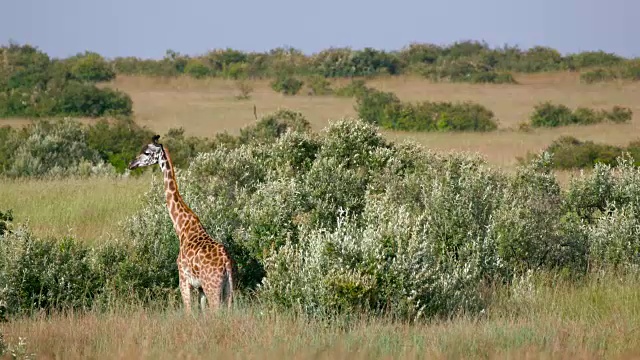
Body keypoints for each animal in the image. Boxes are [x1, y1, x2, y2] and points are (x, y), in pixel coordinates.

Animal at [127, 135, 232, 312]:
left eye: (147, 152)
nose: (131, 164)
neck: (182, 228)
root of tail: (227, 263)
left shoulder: (183, 280)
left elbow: (188, 311)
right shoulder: (200, 288)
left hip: (213, 287)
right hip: (229, 289)